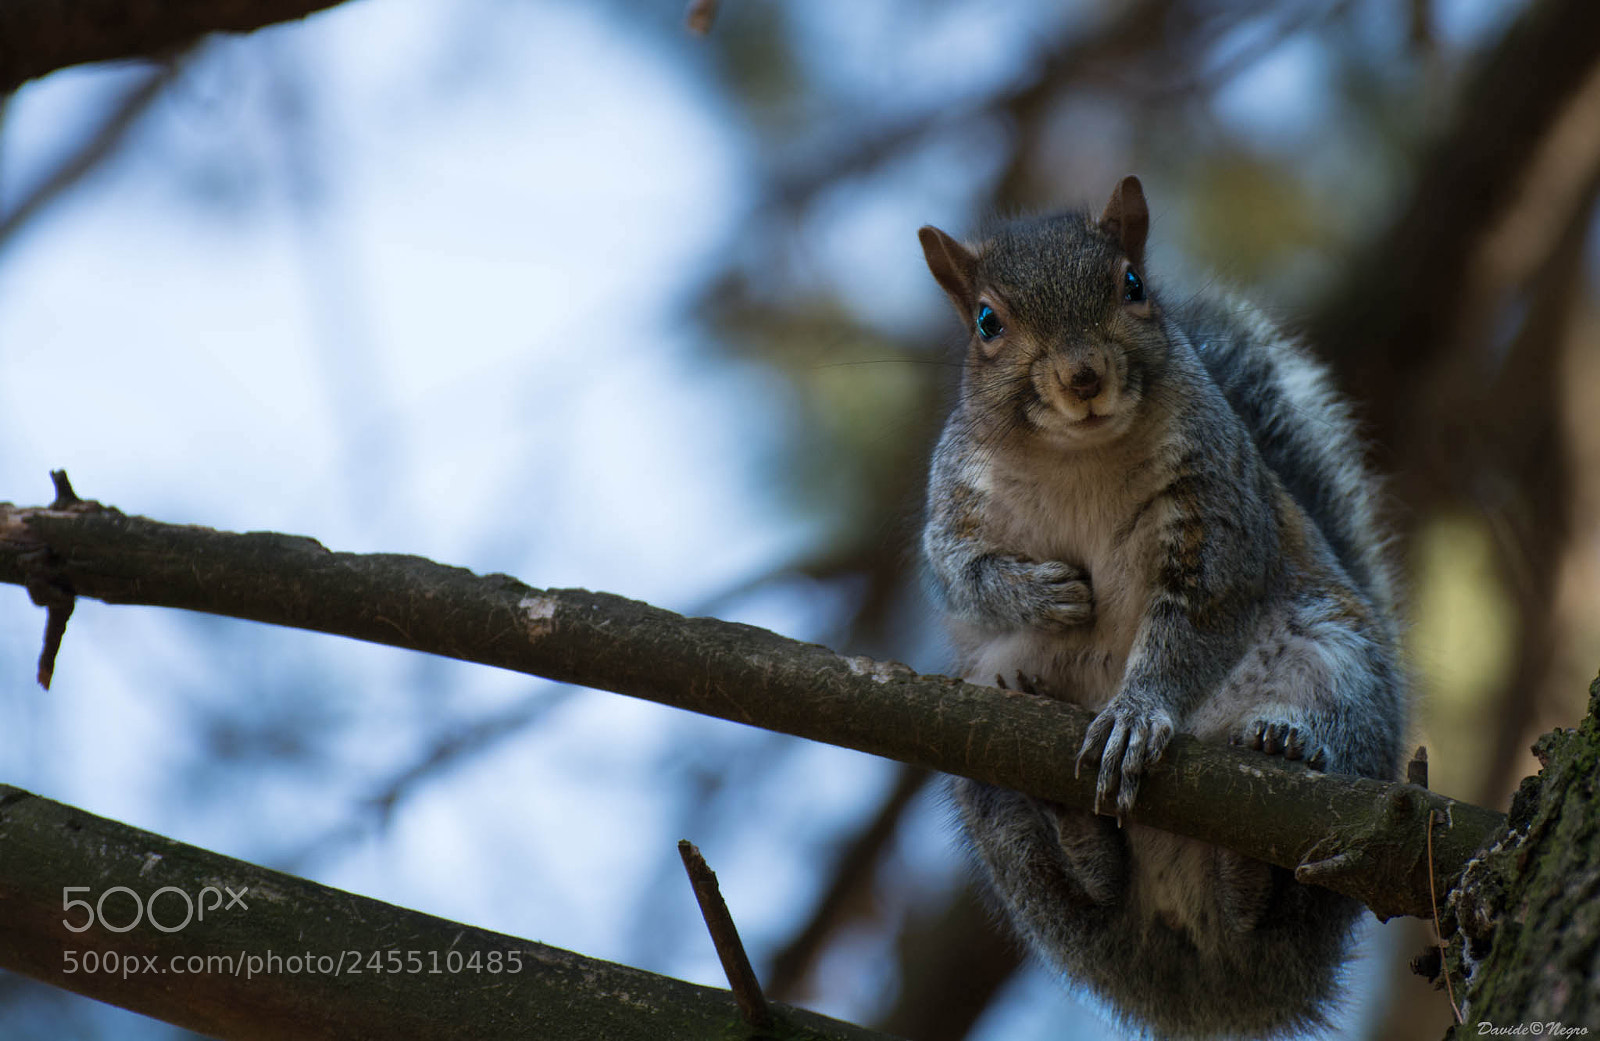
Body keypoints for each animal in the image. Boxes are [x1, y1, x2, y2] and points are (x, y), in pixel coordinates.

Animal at [917, 176, 1406, 1039]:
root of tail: (1205, 977)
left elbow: (1198, 621)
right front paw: (1046, 593)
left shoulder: (1216, 509)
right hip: (982, 775)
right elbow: (958, 571)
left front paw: (1136, 713)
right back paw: (1075, 826)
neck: (1078, 456)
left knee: (1281, 888)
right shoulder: (955, 503)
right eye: (986, 323)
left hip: (1343, 679)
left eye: (1132, 285)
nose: (1082, 376)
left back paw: (1275, 768)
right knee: (1092, 888)